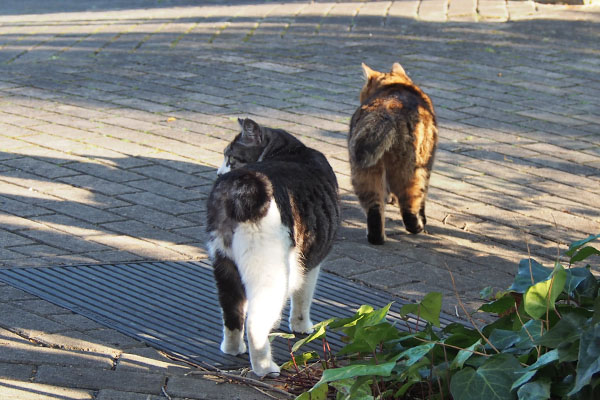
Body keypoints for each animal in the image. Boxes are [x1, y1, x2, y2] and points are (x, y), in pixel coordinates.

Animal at [205, 117, 338, 376]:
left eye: (230, 158)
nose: (219, 172)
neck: (290, 150)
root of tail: (240, 186)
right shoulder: (311, 262)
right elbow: (303, 298)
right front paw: (302, 326)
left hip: (224, 264)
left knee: (231, 312)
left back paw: (232, 349)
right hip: (273, 274)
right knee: (254, 323)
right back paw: (265, 368)